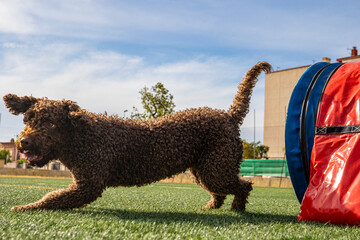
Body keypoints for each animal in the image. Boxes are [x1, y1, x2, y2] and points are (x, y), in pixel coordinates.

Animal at [4, 61, 272, 210]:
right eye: (28, 120)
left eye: (49, 123)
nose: (23, 142)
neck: (81, 137)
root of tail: (228, 115)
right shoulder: (84, 182)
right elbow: (54, 196)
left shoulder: (89, 184)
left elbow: (52, 198)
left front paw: (25, 207)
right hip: (206, 168)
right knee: (221, 189)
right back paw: (212, 206)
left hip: (216, 166)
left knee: (244, 185)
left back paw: (238, 207)